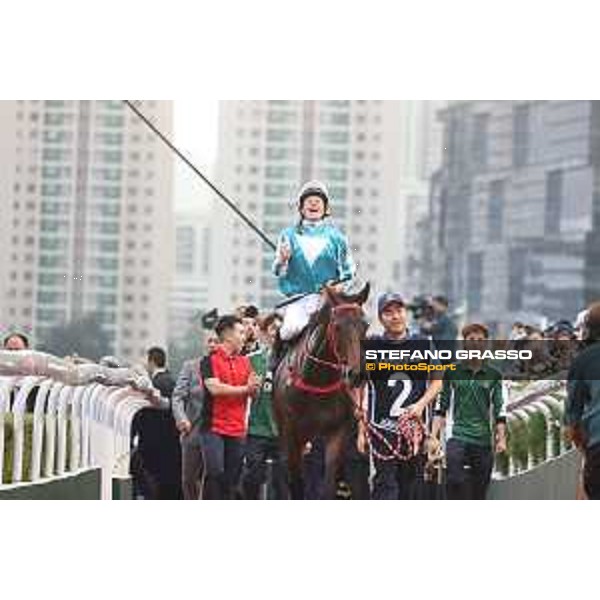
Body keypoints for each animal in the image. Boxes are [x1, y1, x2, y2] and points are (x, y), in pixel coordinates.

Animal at [274, 284, 368, 500]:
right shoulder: (292, 433)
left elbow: (328, 484)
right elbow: (296, 483)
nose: (356, 375)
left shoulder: (338, 431)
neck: (318, 381)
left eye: (365, 326)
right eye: (337, 326)